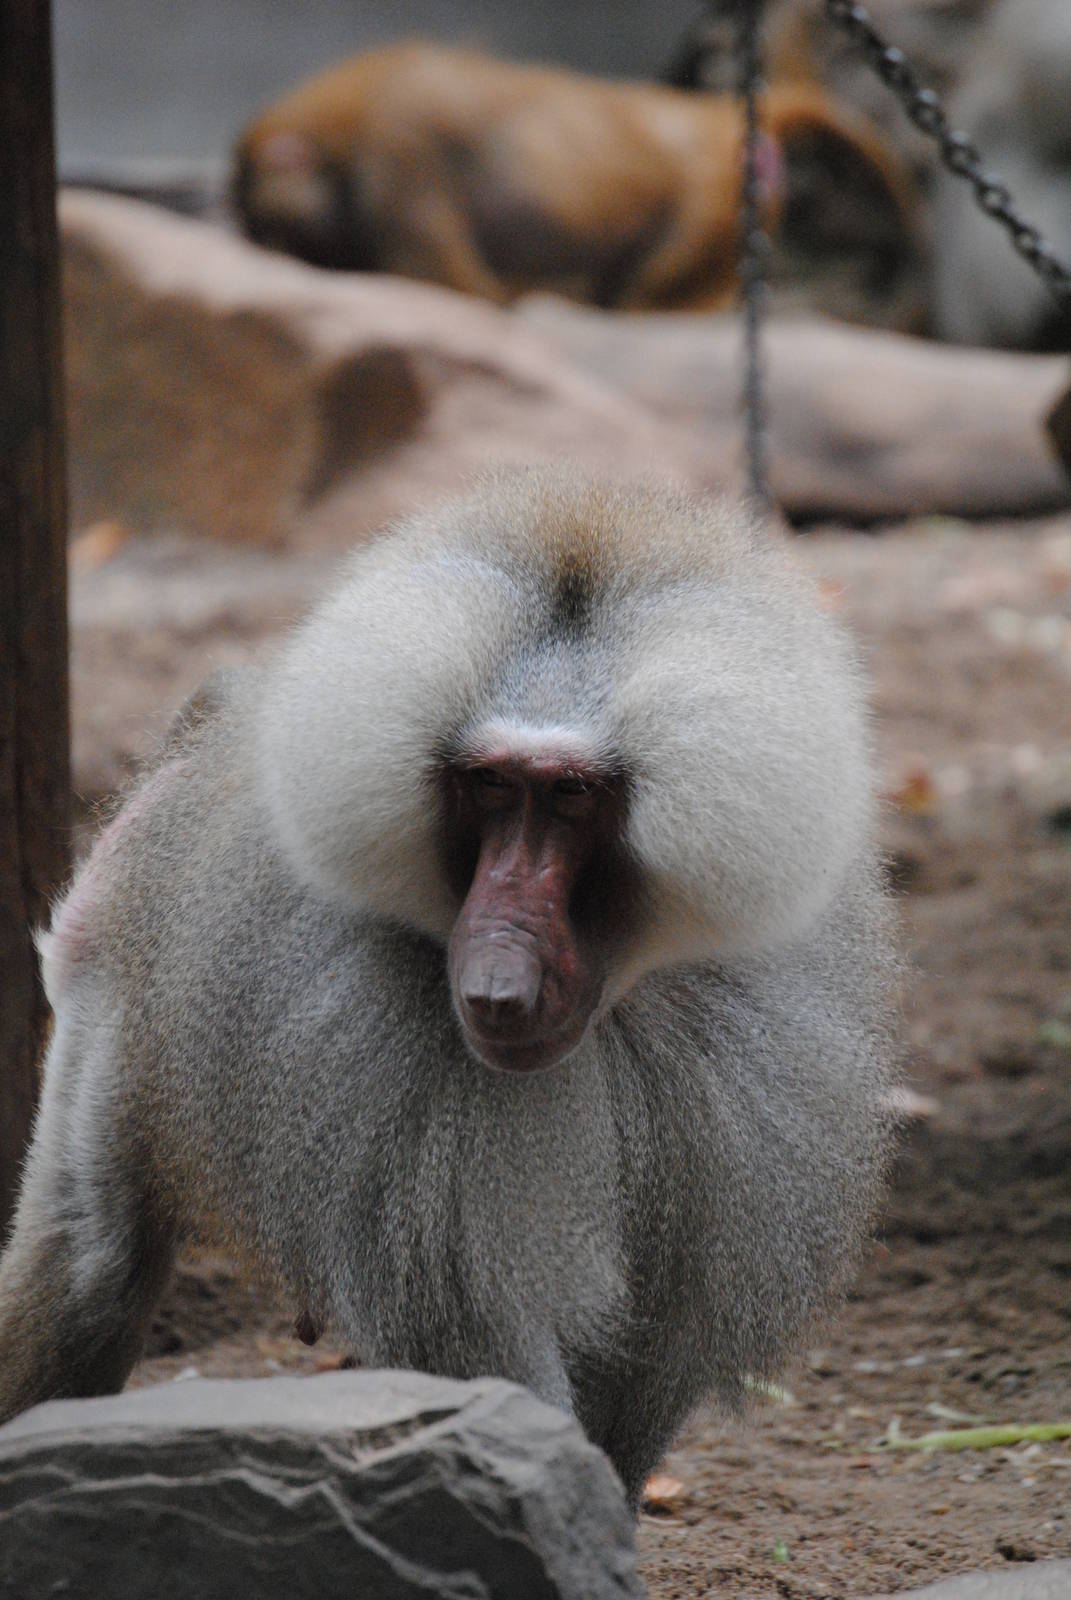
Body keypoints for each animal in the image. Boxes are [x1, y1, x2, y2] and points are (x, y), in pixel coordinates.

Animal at [0, 469, 898, 1506]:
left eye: (571, 795)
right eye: (488, 785)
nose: (497, 985)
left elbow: (637, 1370)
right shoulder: (397, 1086)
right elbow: (485, 1362)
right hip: (104, 958)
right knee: (92, 1260)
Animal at [232, 39, 919, 319]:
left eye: (267, 227)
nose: (269, 249)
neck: (340, 128)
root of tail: (716, 120)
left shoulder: (397, 157)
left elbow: (452, 286)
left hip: (717, 199)